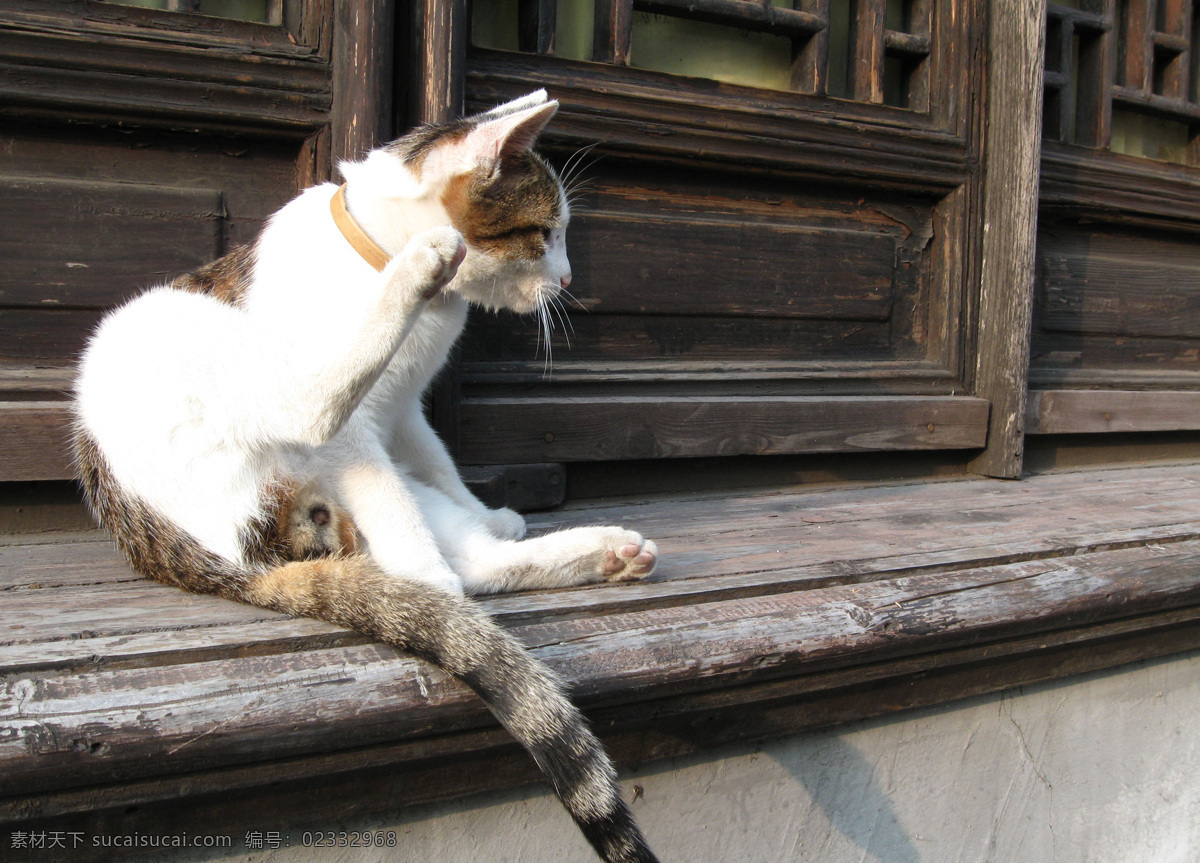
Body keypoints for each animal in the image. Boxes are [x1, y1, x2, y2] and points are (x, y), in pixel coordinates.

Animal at [70, 89, 662, 863]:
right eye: (544, 233)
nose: (566, 280)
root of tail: (195, 555)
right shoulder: (362, 434)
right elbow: (387, 489)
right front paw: (431, 581)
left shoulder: (403, 411)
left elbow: (436, 458)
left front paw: (485, 512)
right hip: (194, 345)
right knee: (313, 408)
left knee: (475, 561)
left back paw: (602, 553)